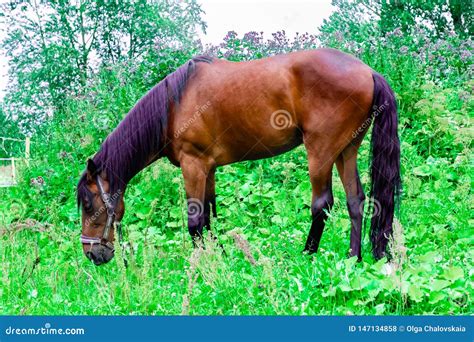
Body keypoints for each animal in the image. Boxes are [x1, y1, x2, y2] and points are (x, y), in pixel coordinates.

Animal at [77, 49, 400, 266]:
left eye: (89, 204)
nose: (92, 254)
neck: (173, 105)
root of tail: (368, 71)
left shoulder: (193, 165)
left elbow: (195, 220)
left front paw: (204, 262)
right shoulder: (208, 168)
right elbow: (209, 215)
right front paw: (220, 254)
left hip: (320, 152)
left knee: (322, 204)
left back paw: (307, 253)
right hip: (346, 150)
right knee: (356, 201)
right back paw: (353, 258)